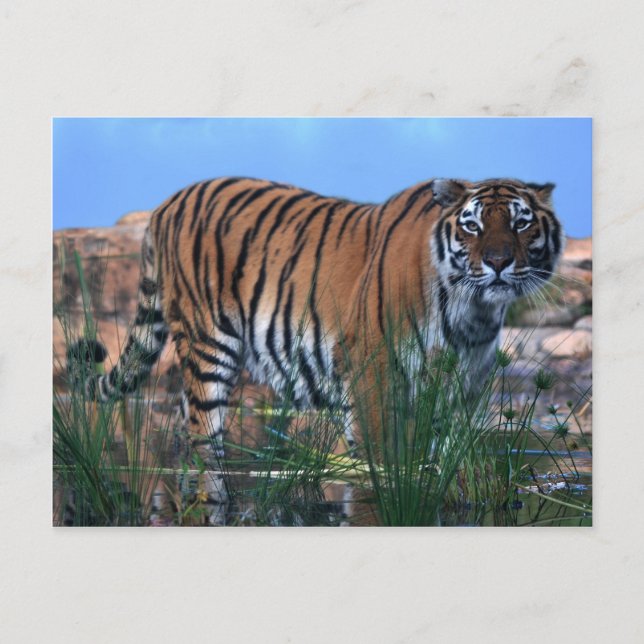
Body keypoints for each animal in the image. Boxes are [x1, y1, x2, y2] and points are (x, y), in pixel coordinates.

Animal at [71, 176, 564, 481]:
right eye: (472, 225)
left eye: (521, 223)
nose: (498, 262)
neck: (473, 311)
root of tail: (165, 203)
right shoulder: (373, 371)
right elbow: (383, 464)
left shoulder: (464, 388)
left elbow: (449, 460)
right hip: (207, 344)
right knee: (201, 435)